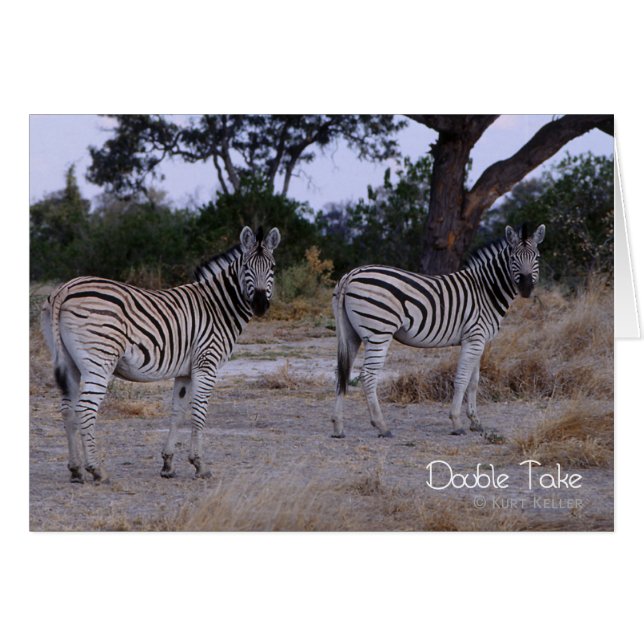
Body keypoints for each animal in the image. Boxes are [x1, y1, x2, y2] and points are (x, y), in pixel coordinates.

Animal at [41, 226, 281, 483]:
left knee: (67, 410)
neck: (218, 307)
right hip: (99, 361)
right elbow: (199, 412)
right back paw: (96, 470)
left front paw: (168, 464)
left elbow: (178, 411)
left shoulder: (185, 371)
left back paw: (76, 469)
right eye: (246, 267)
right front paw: (200, 465)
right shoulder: (206, 363)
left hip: (69, 363)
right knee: (85, 410)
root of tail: (65, 288)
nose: (260, 305)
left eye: (272, 267)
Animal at [331, 223, 545, 439]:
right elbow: (462, 379)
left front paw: (475, 422)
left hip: (350, 334)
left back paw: (338, 427)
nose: (526, 287)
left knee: (342, 372)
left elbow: (474, 381)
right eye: (513, 258)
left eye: (536, 257)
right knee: (368, 375)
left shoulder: (479, 340)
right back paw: (382, 426)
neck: (486, 290)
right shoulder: (474, 338)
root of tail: (351, 275)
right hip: (379, 332)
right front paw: (457, 422)